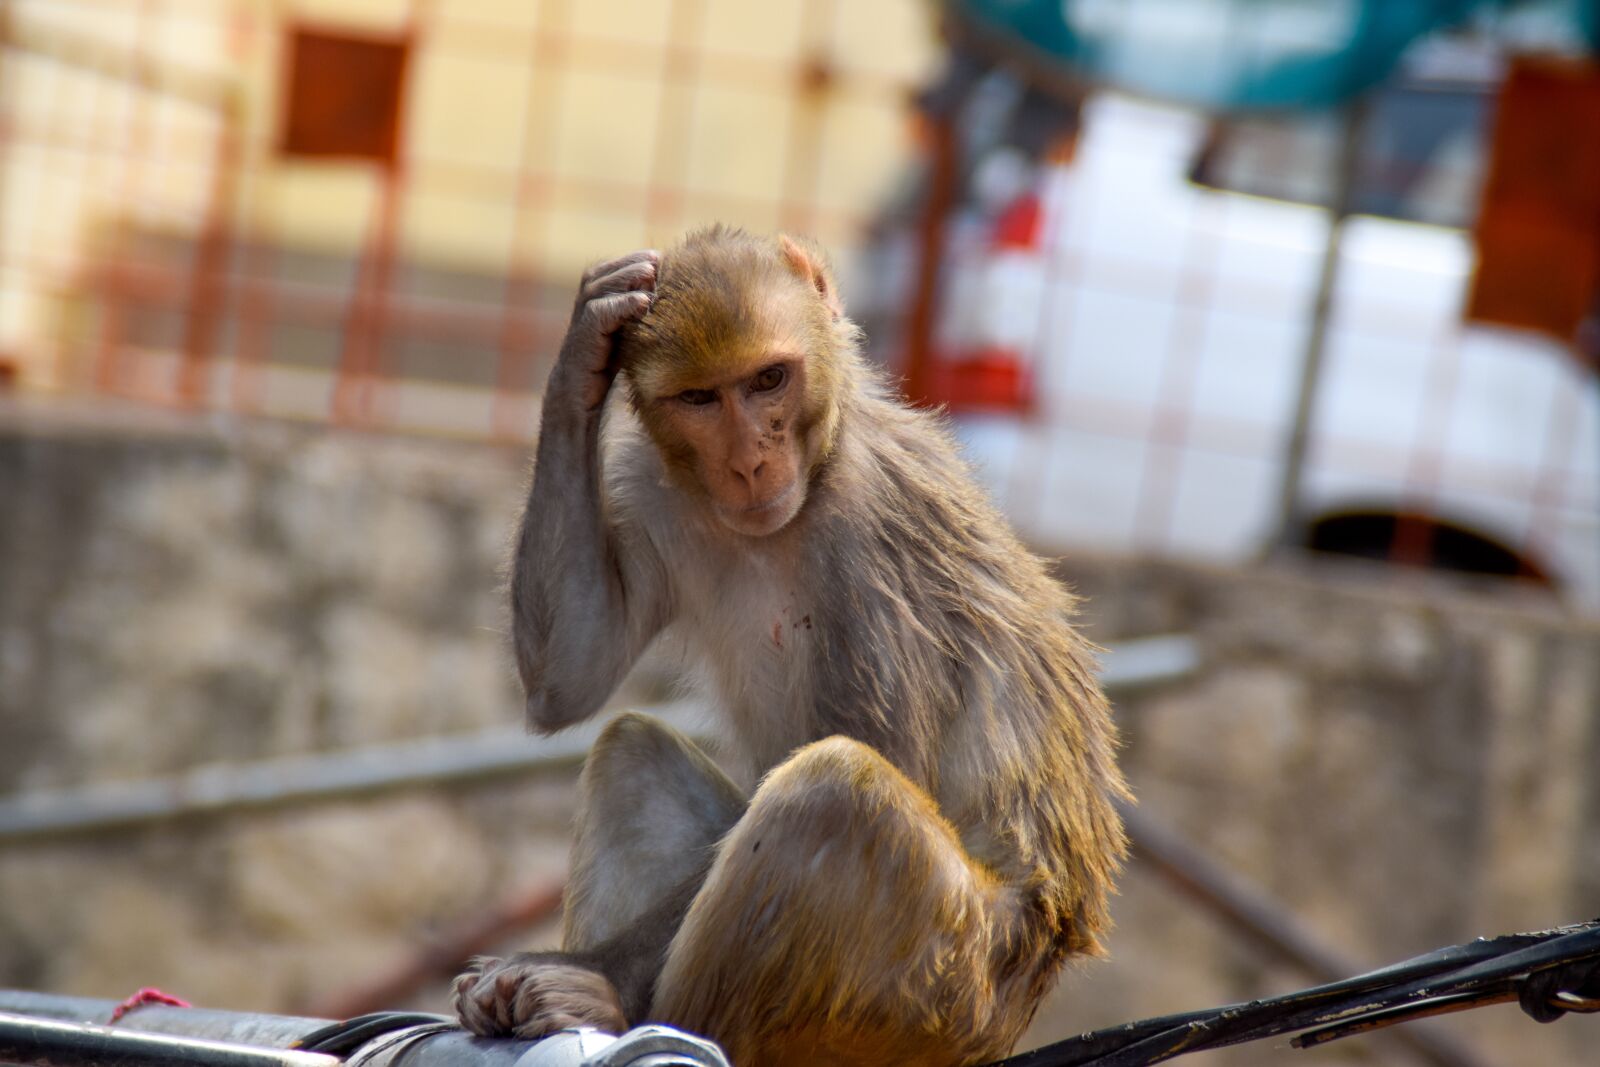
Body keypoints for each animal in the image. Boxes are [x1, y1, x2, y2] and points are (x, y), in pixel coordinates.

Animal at [452, 227, 1129, 1067]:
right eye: (701, 399)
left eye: (769, 379)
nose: (750, 461)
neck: (819, 467)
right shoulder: (650, 478)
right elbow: (571, 672)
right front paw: (585, 343)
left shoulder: (871, 536)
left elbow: (885, 756)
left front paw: (579, 971)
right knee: (632, 750)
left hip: (943, 987)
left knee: (838, 791)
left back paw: (619, 1004)